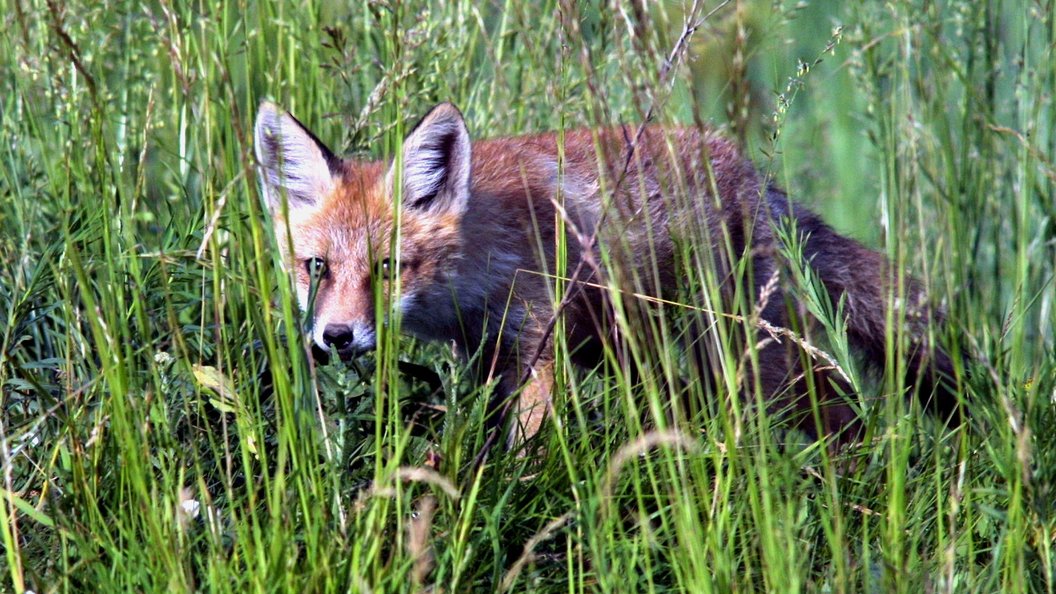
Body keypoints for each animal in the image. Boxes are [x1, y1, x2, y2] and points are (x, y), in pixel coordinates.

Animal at [257, 100, 967, 443]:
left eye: (389, 268)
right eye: (317, 267)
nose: (336, 338)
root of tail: (747, 169)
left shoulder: (538, 341)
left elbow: (525, 443)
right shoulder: (488, 354)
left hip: (740, 351)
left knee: (837, 406)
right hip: (640, 349)